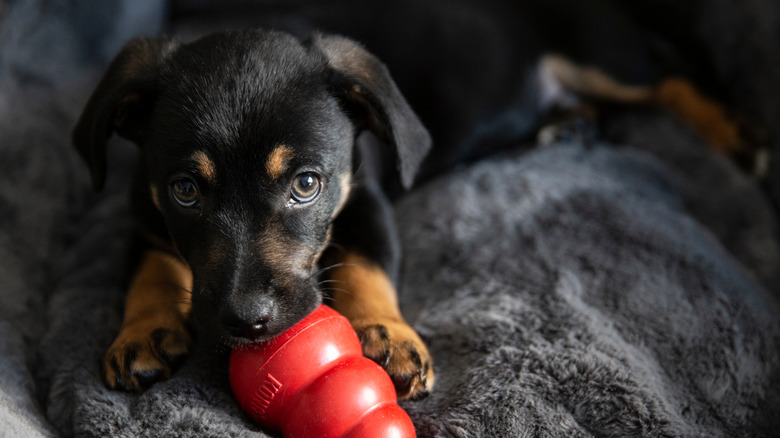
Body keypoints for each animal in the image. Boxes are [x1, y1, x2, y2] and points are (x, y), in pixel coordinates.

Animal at [74, 30, 436, 400]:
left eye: (306, 184)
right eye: (185, 190)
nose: (247, 321)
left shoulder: (368, 202)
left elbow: (366, 265)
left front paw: (386, 332)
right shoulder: (144, 215)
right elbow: (151, 270)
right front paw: (143, 332)